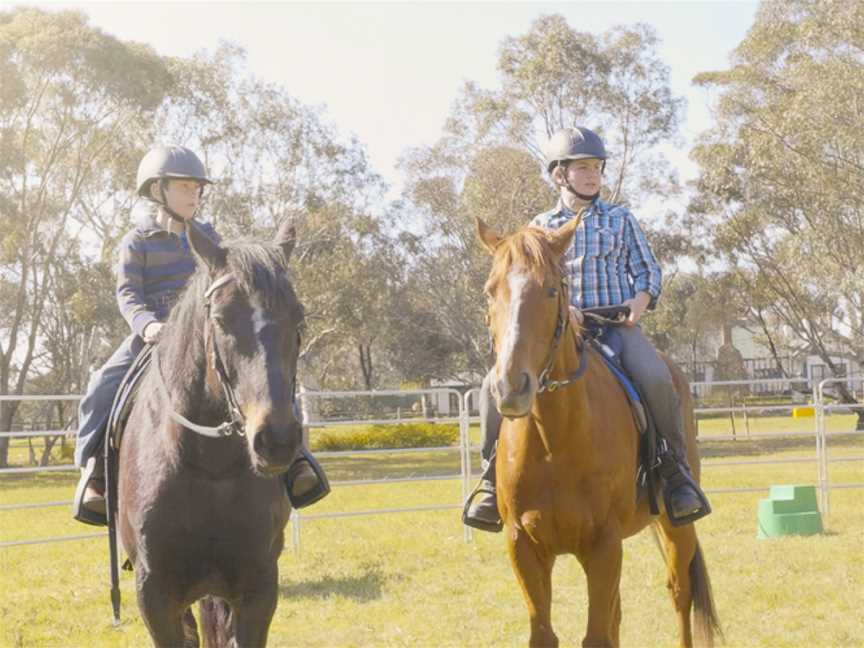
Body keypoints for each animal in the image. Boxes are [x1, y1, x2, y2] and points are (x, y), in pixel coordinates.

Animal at [115, 220, 304, 644]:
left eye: (299, 318)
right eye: (220, 319)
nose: (276, 439)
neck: (209, 469)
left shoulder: (258, 589)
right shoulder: (155, 596)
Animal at [476, 215, 720, 644]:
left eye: (551, 289)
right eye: (491, 291)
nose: (511, 388)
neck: (553, 440)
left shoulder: (603, 545)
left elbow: (596, 636)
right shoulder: (523, 546)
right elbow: (546, 634)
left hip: (677, 526)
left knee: (680, 592)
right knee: (618, 613)